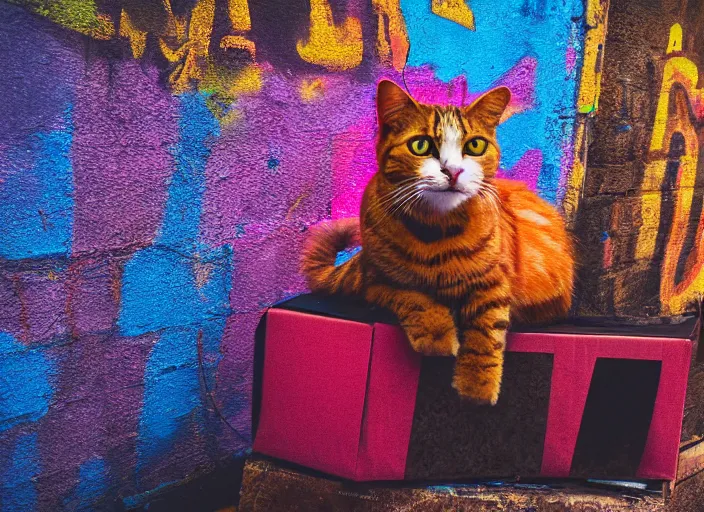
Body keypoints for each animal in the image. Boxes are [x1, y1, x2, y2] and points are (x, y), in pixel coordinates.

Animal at [300, 81, 576, 404]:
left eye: (475, 146)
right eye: (420, 145)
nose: (453, 171)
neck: (435, 231)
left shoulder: (494, 283)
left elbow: (486, 332)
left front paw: (477, 387)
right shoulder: (377, 281)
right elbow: (413, 296)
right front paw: (437, 335)